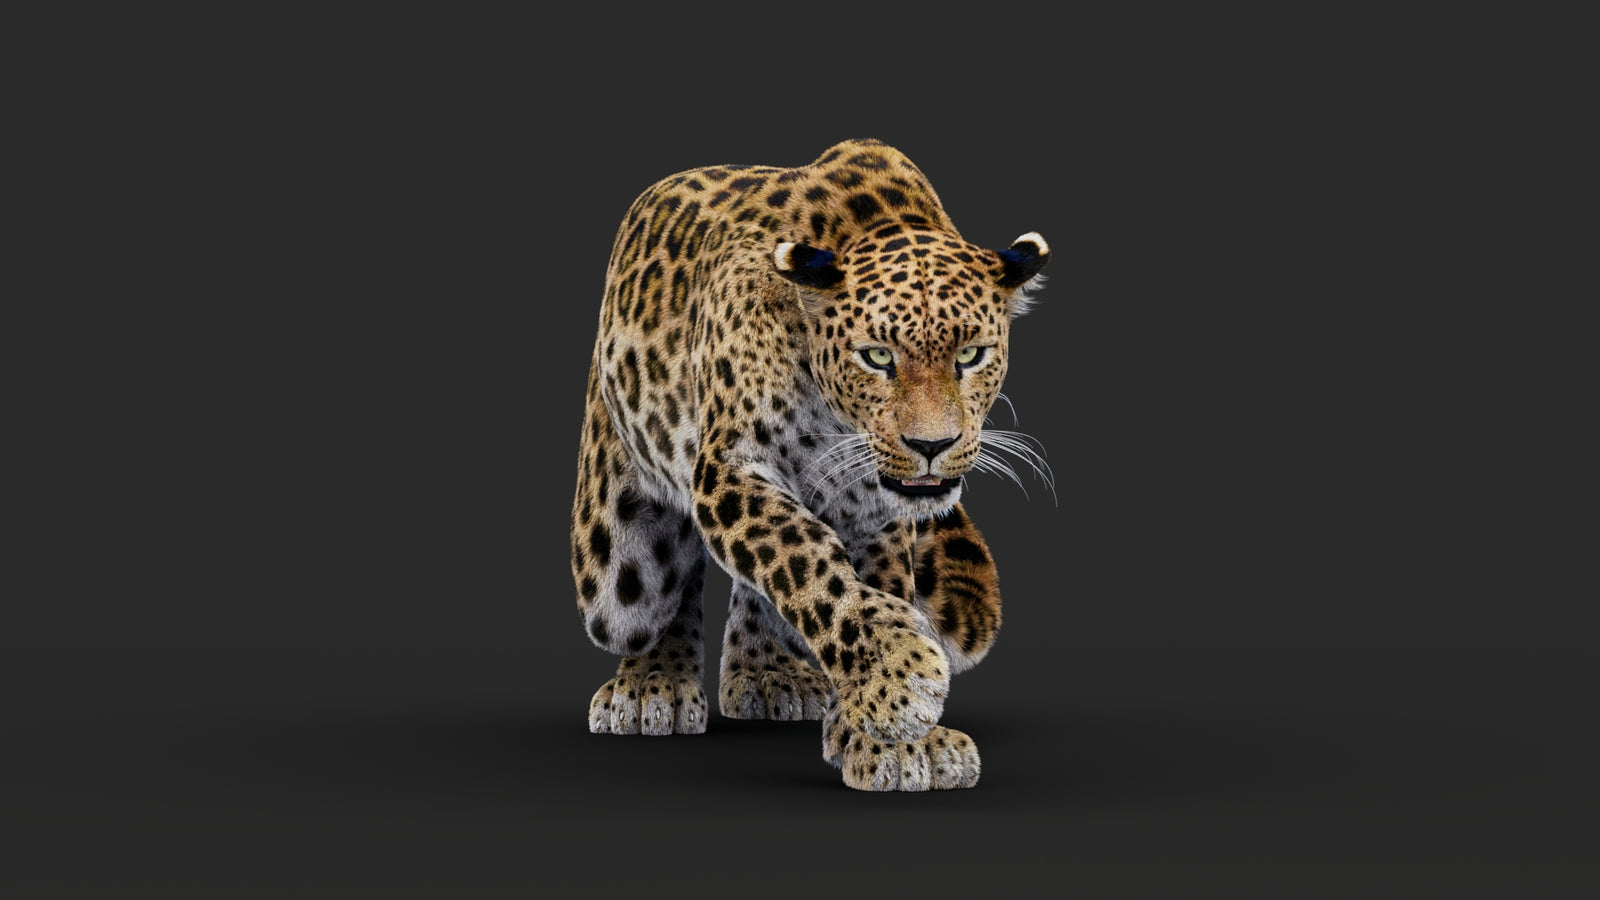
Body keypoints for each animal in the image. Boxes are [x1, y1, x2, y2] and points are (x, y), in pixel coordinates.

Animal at [570, 138, 1050, 791]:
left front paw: (892, 737)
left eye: (972, 355)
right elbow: (803, 556)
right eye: (878, 357)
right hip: (616, 569)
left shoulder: (874, 510)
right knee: (653, 586)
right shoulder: (730, 466)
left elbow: (860, 577)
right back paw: (652, 683)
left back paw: (771, 675)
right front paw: (896, 670)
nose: (932, 444)